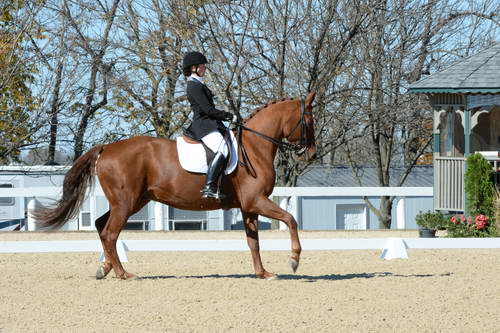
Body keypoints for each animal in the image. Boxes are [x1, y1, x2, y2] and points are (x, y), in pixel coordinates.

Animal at [35, 91, 316, 278]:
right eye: (309, 121)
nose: (312, 154)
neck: (255, 147)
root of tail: (107, 148)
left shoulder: (249, 206)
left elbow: (253, 241)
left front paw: (263, 273)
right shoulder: (256, 201)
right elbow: (291, 219)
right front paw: (294, 260)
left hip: (132, 201)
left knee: (100, 225)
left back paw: (105, 268)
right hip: (126, 203)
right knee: (110, 233)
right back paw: (123, 274)